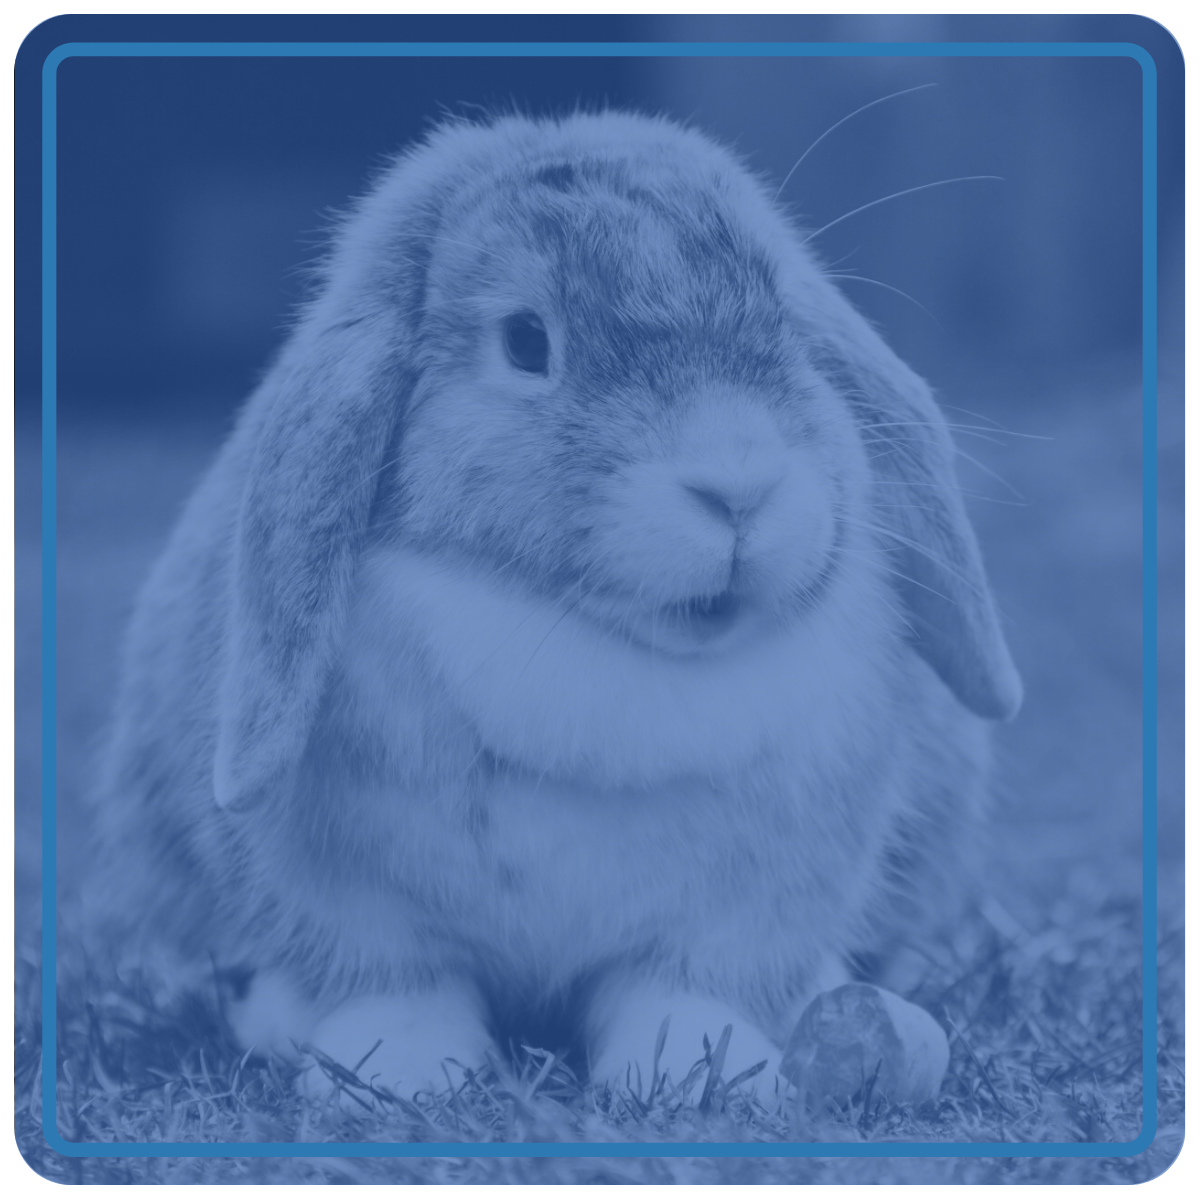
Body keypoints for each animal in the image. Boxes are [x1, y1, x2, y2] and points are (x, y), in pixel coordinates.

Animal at [88, 110, 1021, 1101]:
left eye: (783, 319)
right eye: (527, 341)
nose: (739, 487)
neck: (595, 645)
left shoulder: (745, 913)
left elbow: (683, 990)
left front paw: (704, 1073)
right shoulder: (353, 907)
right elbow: (400, 986)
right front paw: (396, 1074)